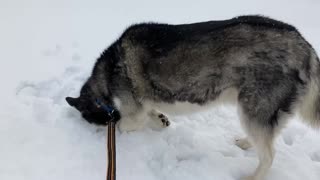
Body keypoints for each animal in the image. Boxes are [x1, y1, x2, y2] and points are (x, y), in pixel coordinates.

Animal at [65, 15, 320, 180]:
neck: (105, 79)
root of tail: (304, 45)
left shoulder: (132, 112)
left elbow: (126, 124)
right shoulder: (141, 105)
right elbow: (150, 113)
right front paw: (159, 119)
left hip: (252, 108)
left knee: (269, 155)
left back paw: (252, 177)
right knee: (268, 136)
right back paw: (247, 142)